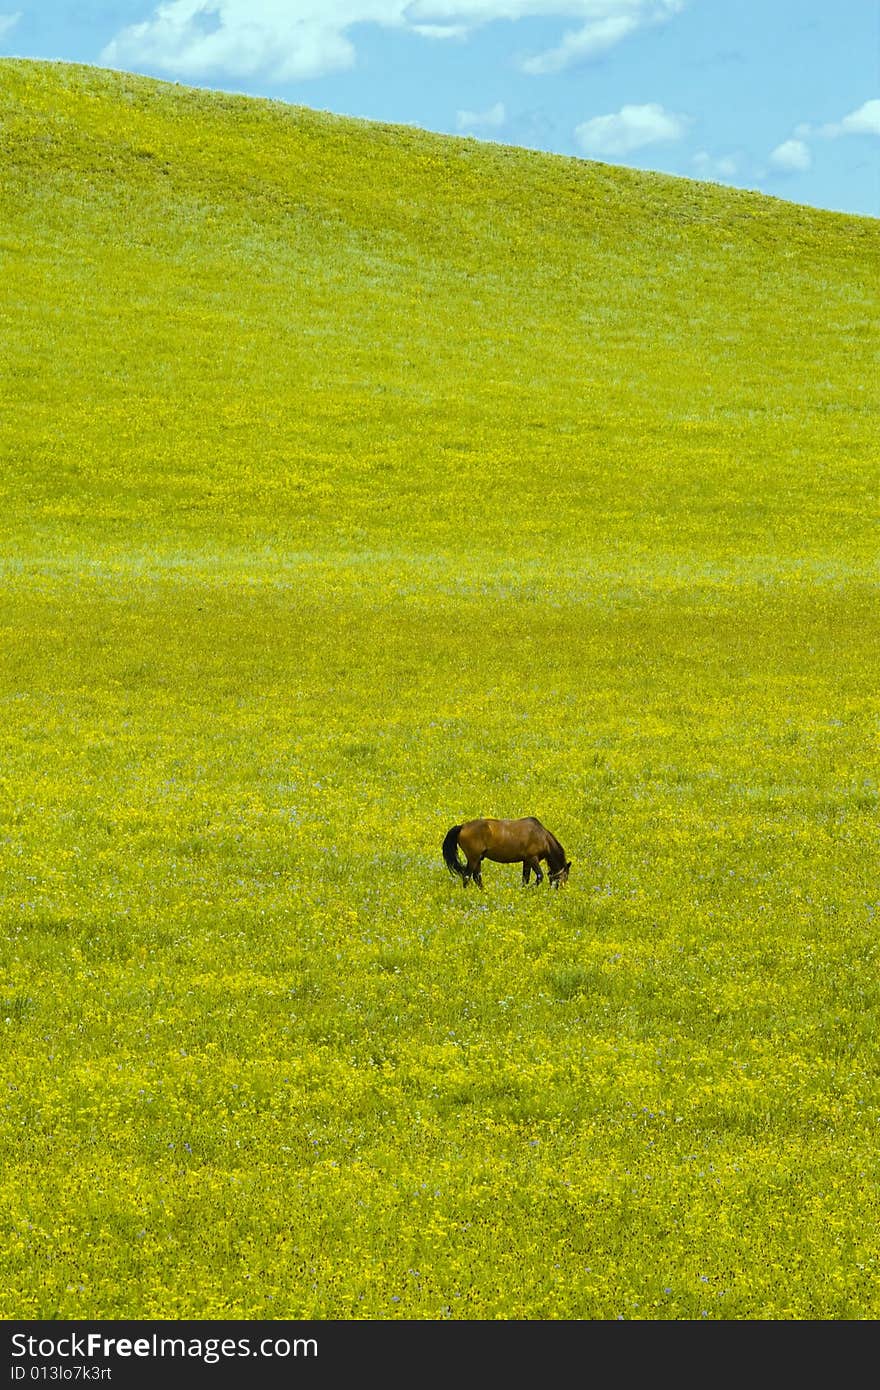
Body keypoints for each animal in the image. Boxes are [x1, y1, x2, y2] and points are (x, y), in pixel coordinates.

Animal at [439, 811, 569, 889]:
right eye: (565, 877)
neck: (541, 836)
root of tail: (462, 826)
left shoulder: (526, 861)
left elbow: (525, 878)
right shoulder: (533, 859)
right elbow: (539, 876)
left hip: (478, 859)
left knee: (477, 878)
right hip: (473, 858)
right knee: (467, 876)